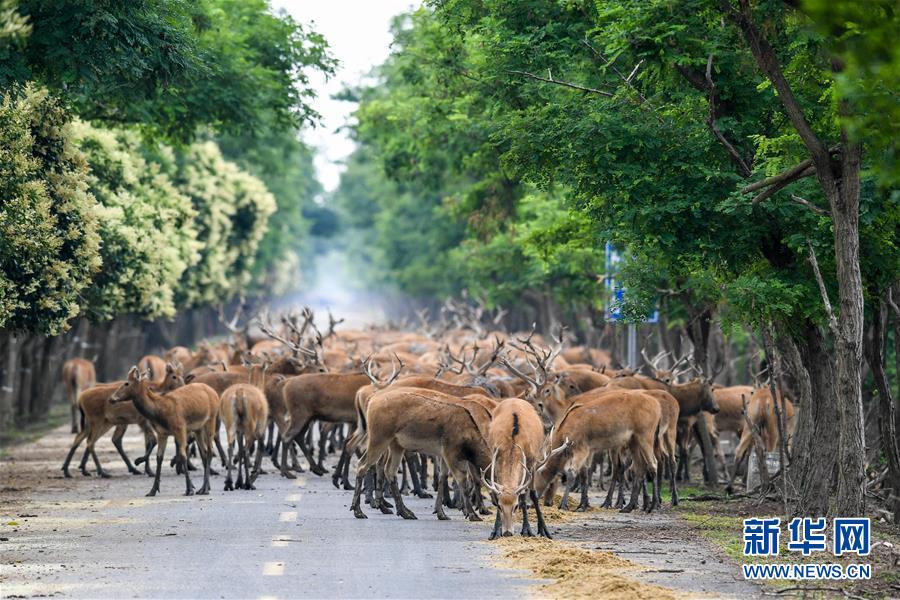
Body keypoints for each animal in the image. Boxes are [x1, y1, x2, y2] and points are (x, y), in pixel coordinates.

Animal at [110, 366, 220, 496]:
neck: (160, 412)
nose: (112, 398)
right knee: (204, 452)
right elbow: (159, 458)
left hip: (211, 419)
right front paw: (152, 490)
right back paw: (203, 488)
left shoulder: (180, 428)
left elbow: (183, 455)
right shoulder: (162, 433)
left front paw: (189, 489)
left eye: (126, 383)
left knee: (209, 451)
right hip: (198, 428)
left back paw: (205, 489)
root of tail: (215, 394)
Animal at [482, 398, 552, 540]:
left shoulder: (531, 462)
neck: (513, 441)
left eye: (515, 507)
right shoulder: (496, 460)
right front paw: (495, 532)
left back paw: (542, 530)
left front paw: (528, 530)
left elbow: (527, 496)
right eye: (500, 507)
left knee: (531, 494)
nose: (507, 532)